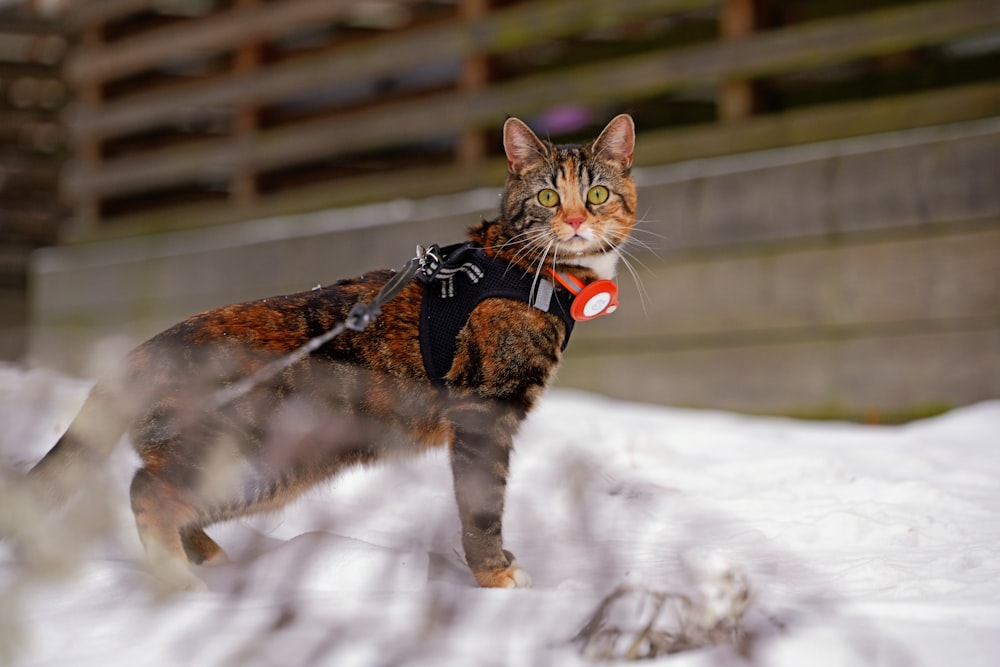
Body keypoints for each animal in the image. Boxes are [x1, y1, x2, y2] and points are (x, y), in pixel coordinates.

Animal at [27, 112, 636, 592]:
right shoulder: (483, 413)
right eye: (548, 196)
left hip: (269, 467)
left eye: (598, 193)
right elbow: (482, 505)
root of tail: (140, 354)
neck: (532, 269)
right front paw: (494, 574)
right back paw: (178, 580)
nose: (575, 221)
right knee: (146, 490)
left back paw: (210, 561)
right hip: (240, 451)